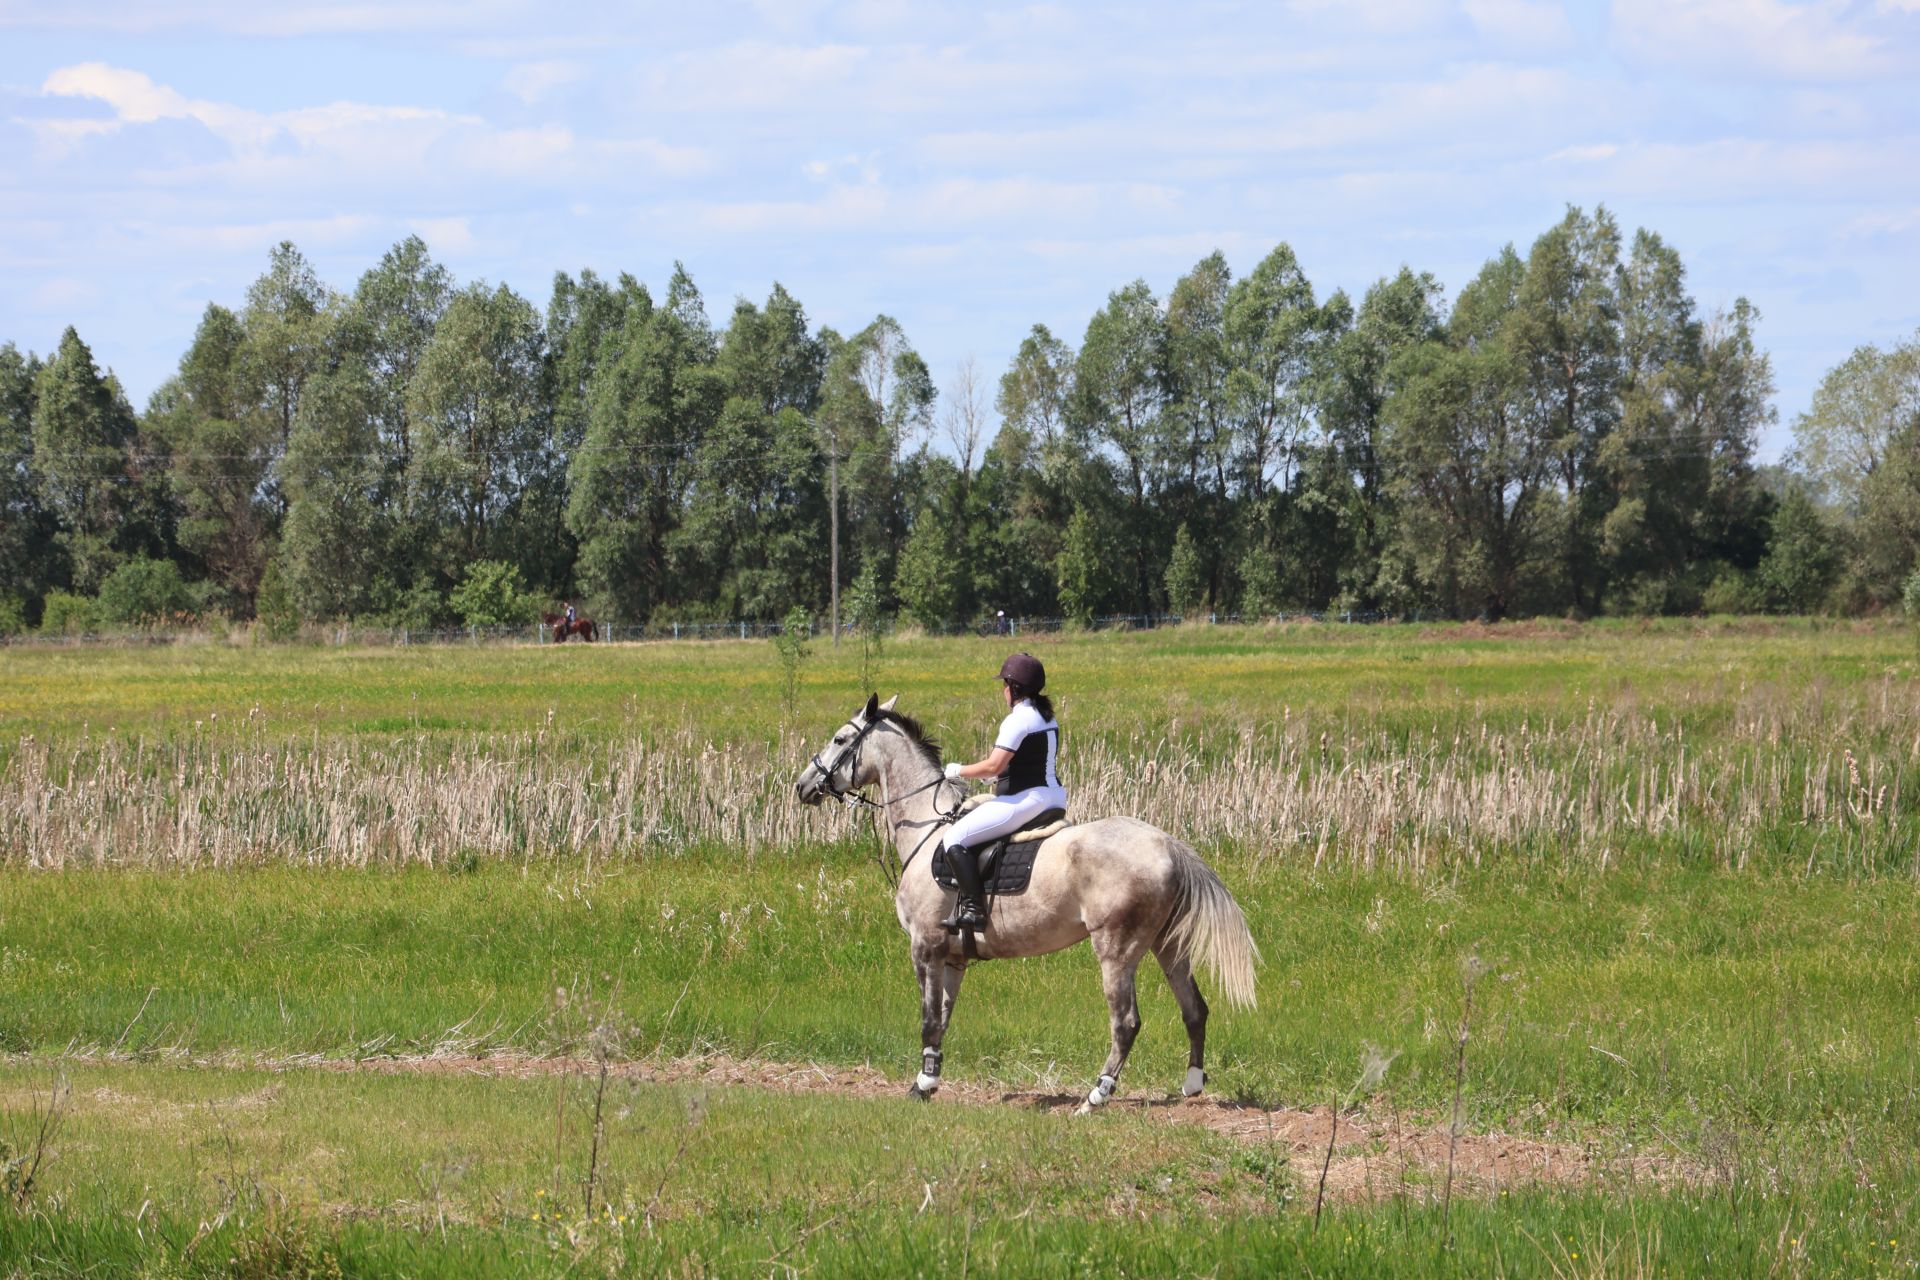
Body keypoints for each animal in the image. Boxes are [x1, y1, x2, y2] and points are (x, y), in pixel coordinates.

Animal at [794, 690, 1259, 1113]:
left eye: (839, 739)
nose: (802, 786)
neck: (927, 827)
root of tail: (1166, 842)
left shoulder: (925, 946)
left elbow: (927, 1018)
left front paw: (920, 1086)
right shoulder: (953, 957)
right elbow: (942, 1018)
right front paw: (930, 1080)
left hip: (1117, 949)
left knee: (1126, 1022)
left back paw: (1094, 1098)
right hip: (1169, 945)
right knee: (1194, 1009)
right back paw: (1192, 1085)